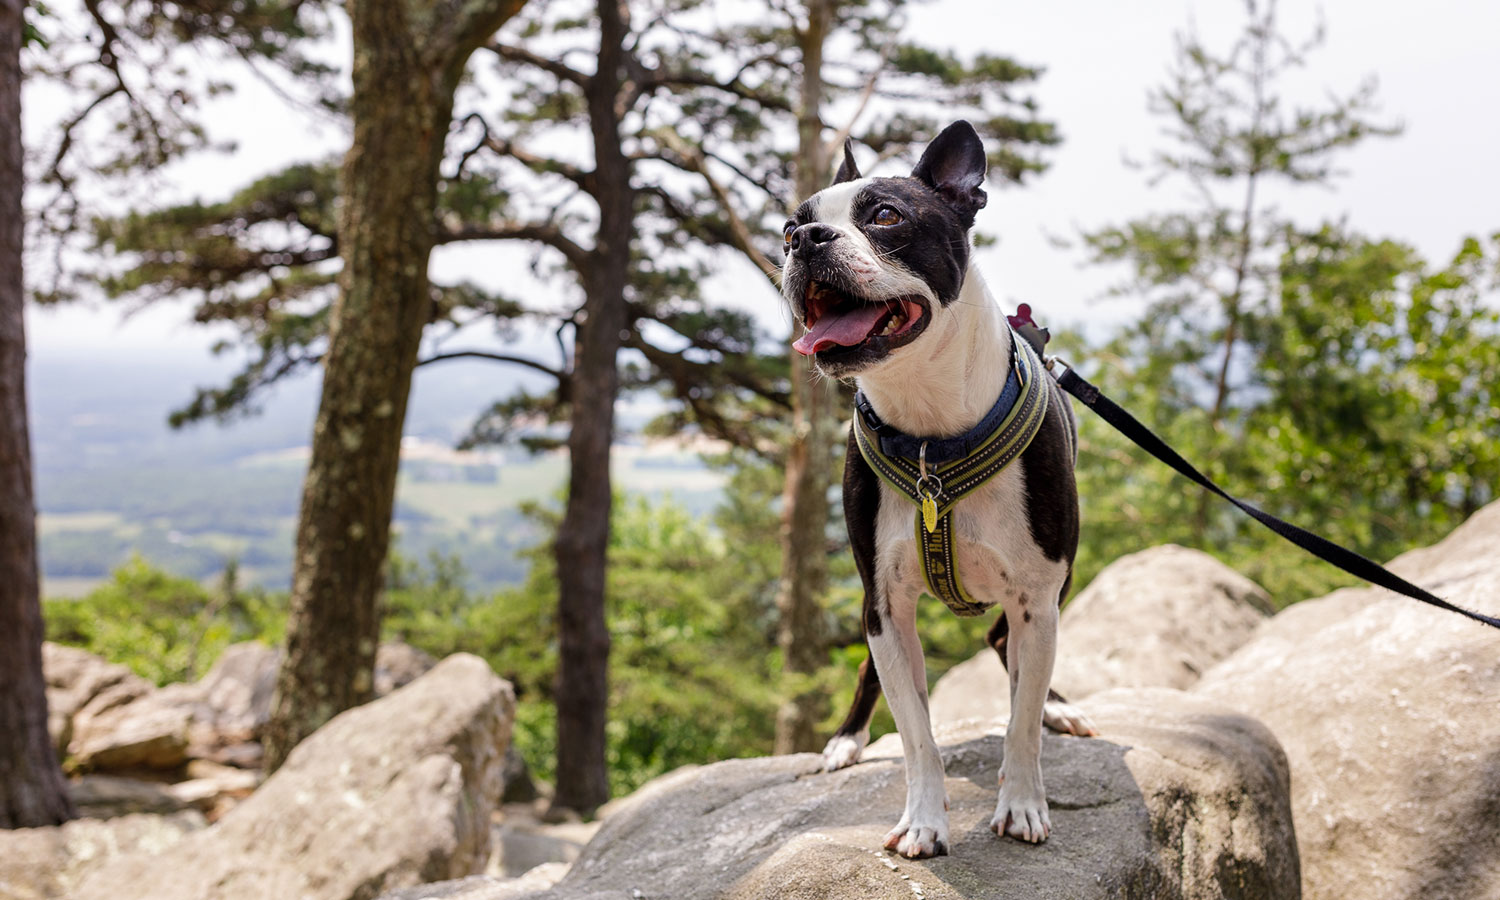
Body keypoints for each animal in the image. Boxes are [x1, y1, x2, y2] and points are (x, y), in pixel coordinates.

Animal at [786, 119, 1092, 858]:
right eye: (789, 226)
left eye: (885, 217)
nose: (805, 241)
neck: (929, 434)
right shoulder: (886, 606)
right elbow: (917, 734)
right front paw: (924, 820)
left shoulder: (1038, 596)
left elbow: (1019, 721)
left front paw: (1023, 803)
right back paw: (845, 741)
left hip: (1052, 589)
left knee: (1011, 653)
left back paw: (1057, 709)